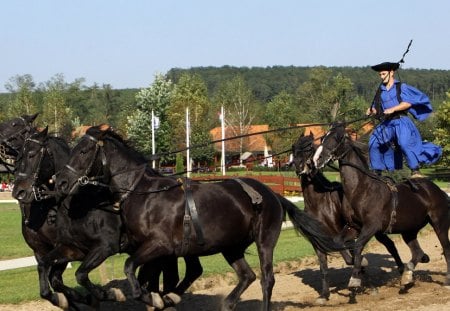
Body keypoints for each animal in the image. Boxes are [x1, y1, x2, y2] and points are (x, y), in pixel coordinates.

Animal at [54, 125, 346, 310]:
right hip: (231, 246)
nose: (61, 180)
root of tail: (272, 194)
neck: (145, 193)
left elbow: (130, 270)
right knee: (247, 276)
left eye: (83, 152)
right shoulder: (146, 249)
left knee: (266, 279)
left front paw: (151, 298)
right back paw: (227, 303)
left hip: (264, 241)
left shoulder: (160, 246)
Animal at [312, 122, 450, 290]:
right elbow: (339, 242)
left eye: (336, 137)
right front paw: (358, 264)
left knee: (446, 250)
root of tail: (438, 191)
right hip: (408, 230)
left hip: (439, 224)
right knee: (417, 253)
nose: (317, 159)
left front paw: (355, 278)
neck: (361, 189)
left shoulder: (371, 226)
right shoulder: (354, 226)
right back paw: (407, 276)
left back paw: (446, 281)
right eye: (323, 137)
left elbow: (358, 246)